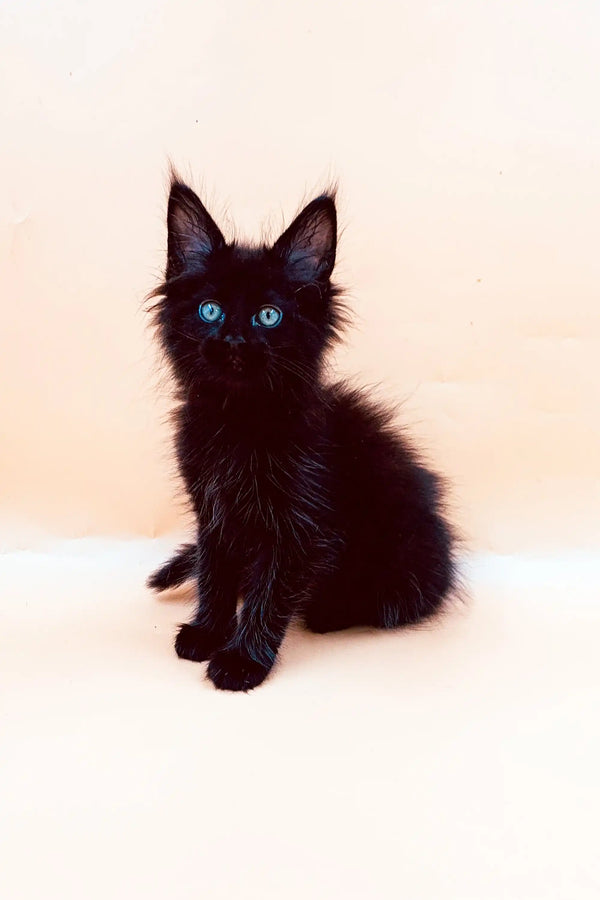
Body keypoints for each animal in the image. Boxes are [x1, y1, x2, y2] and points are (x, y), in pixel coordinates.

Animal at [149, 176, 454, 688]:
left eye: (269, 316)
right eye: (210, 310)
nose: (234, 341)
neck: (239, 422)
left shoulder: (299, 525)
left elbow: (270, 592)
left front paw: (242, 659)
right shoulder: (212, 508)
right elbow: (215, 571)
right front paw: (209, 631)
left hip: (403, 554)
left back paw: (327, 611)